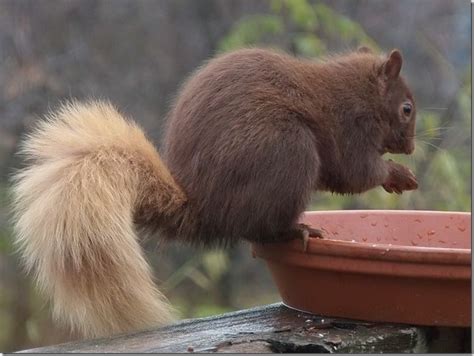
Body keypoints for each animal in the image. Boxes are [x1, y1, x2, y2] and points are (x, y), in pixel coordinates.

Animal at [11, 46, 416, 340]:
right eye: (407, 109)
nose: (411, 148)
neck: (359, 89)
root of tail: (206, 209)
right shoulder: (351, 127)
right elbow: (355, 172)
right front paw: (397, 174)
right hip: (289, 152)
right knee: (262, 230)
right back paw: (298, 230)